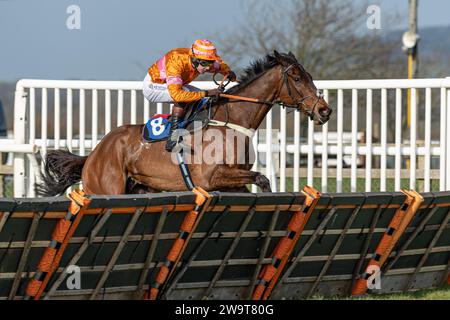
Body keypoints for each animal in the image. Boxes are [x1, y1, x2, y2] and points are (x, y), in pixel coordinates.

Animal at [38, 50, 330, 195]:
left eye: (308, 75)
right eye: (296, 77)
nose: (325, 110)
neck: (231, 123)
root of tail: (94, 154)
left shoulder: (233, 182)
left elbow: (257, 182)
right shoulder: (211, 177)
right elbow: (262, 178)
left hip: (140, 187)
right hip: (106, 189)